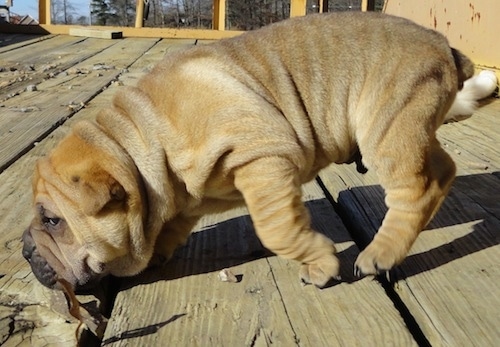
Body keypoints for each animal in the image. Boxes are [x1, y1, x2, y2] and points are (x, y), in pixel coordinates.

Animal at [22, 12, 496, 290]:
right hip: (408, 126)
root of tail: (445, 47)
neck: (141, 141)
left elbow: (276, 229)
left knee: (415, 188)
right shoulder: (181, 199)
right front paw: (156, 252)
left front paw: (321, 264)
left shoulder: (262, 158)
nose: (27, 249)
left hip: (387, 125)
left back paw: (378, 255)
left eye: (52, 220)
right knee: (441, 171)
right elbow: (171, 228)